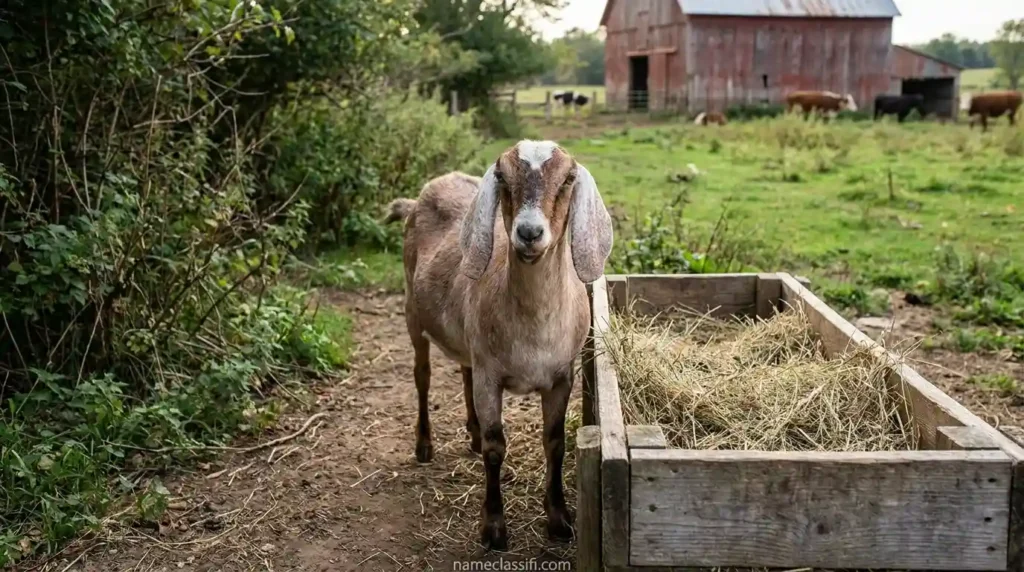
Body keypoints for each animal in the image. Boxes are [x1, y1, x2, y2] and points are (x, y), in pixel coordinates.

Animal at [384, 140, 613, 550]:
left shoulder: (561, 378)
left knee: (463, 370)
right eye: (503, 177)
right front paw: (493, 527)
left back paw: (471, 434)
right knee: (422, 375)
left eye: (568, 179)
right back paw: (424, 445)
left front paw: (559, 519)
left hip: (465, 337)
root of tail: (417, 199)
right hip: (413, 311)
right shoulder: (490, 378)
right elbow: (495, 448)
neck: (533, 328)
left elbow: (555, 442)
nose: (529, 232)